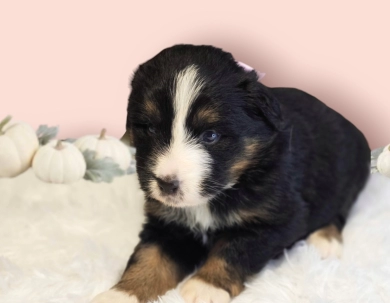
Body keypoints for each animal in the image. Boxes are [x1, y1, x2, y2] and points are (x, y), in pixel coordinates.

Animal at [93, 44, 370, 302]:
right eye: (149, 129)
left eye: (211, 135)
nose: (166, 184)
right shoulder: (168, 221)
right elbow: (150, 257)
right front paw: (121, 294)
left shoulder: (278, 218)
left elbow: (236, 250)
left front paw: (206, 287)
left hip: (349, 176)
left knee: (339, 210)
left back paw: (325, 241)